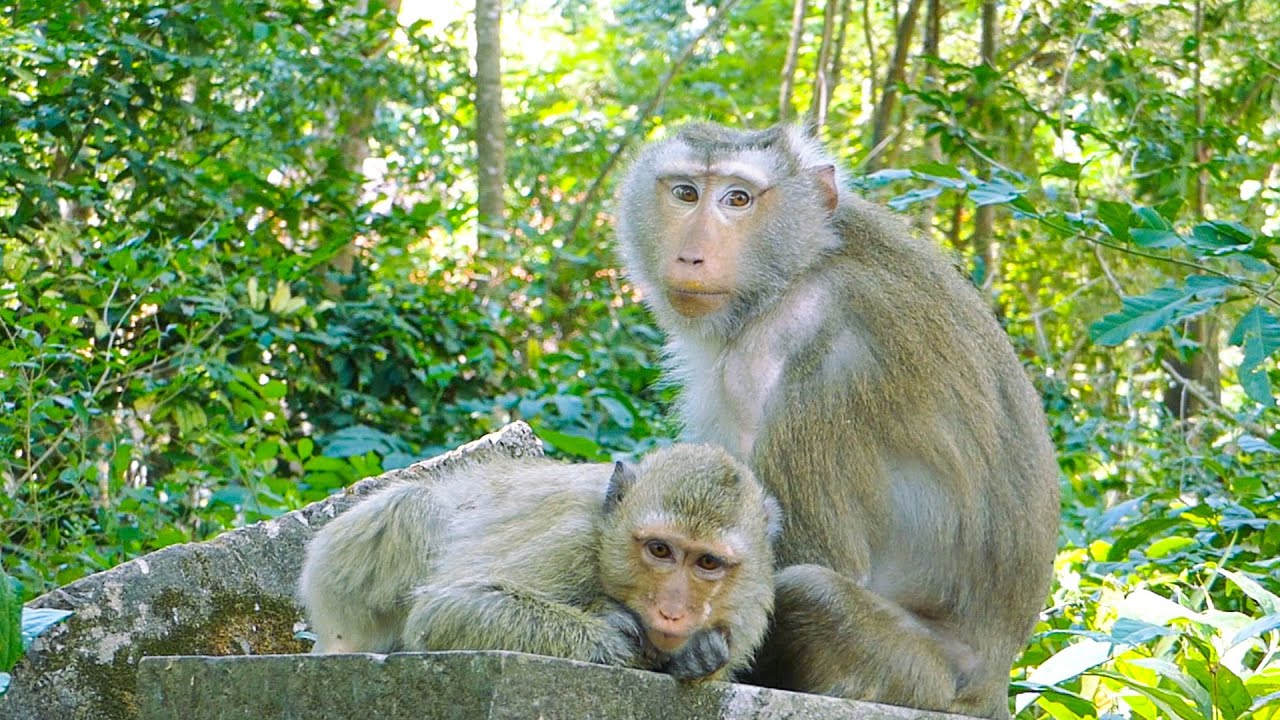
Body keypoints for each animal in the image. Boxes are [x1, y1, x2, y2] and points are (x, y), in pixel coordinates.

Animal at [297, 442, 781, 682]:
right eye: (660, 550)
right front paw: (612, 632)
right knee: (414, 503)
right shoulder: (570, 542)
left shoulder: (750, 608)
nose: (673, 610)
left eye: (708, 563)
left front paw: (699, 655)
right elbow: (447, 608)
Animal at [614, 123, 1059, 718]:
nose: (691, 256)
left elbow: (801, 559)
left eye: (738, 198)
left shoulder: (823, 354)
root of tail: (994, 687)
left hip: (916, 680)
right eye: (686, 193)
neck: (802, 269)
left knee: (811, 591)